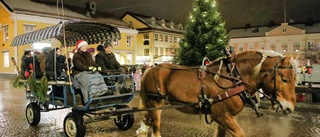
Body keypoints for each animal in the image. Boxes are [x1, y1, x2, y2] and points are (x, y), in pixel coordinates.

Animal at [136, 50, 298, 137]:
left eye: (295, 79)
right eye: (284, 79)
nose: (289, 108)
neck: (234, 78)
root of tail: (150, 69)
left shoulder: (225, 118)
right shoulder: (221, 116)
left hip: (154, 105)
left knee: (146, 121)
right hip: (155, 104)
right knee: (155, 128)